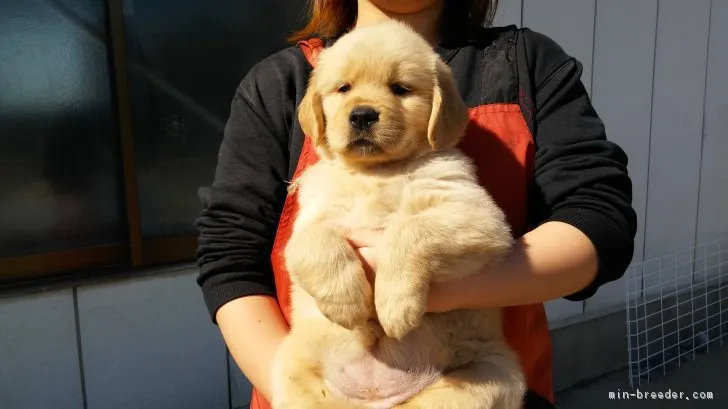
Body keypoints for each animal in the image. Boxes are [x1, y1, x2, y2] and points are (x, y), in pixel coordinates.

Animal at [270, 19, 528, 408]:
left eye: (400, 89)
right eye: (343, 88)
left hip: (490, 374)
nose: (362, 114)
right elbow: (314, 242)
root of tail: (377, 400)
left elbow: (410, 230)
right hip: (289, 371)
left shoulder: (475, 213)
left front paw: (394, 305)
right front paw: (348, 302)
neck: (377, 172)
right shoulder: (309, 220)